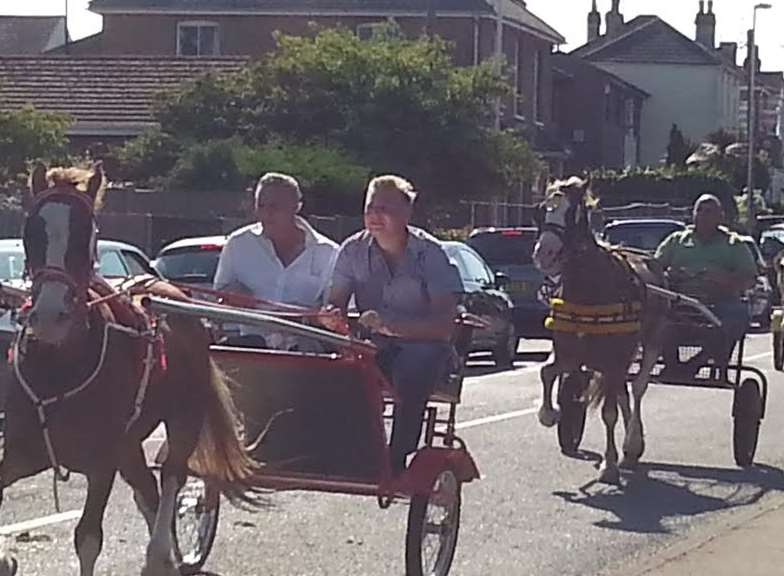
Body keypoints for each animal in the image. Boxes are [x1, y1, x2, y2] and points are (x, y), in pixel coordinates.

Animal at [0, 163, 264, 576]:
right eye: (32, 230)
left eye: (86, 232)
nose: (50, 315)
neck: (60, 365)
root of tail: (168, 290)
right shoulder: (20, 452)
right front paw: (8, 558)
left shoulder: (102, 461)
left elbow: (88, 538)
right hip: (130, 445)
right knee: (147, 490)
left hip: (183, 415)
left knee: (172, 477)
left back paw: (161, 553)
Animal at [532, 178, 668, 484]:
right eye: (541, 210)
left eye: (572, 213)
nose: (544, 253)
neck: (590, 285)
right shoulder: (568, 352)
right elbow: (546, 372)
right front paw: (550, 414)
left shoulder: (614, 358)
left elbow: (609, 413)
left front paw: (609, 465)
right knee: (623, 391)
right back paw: (631, 450)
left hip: (651, 342)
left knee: (637, 388)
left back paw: (632, 442)